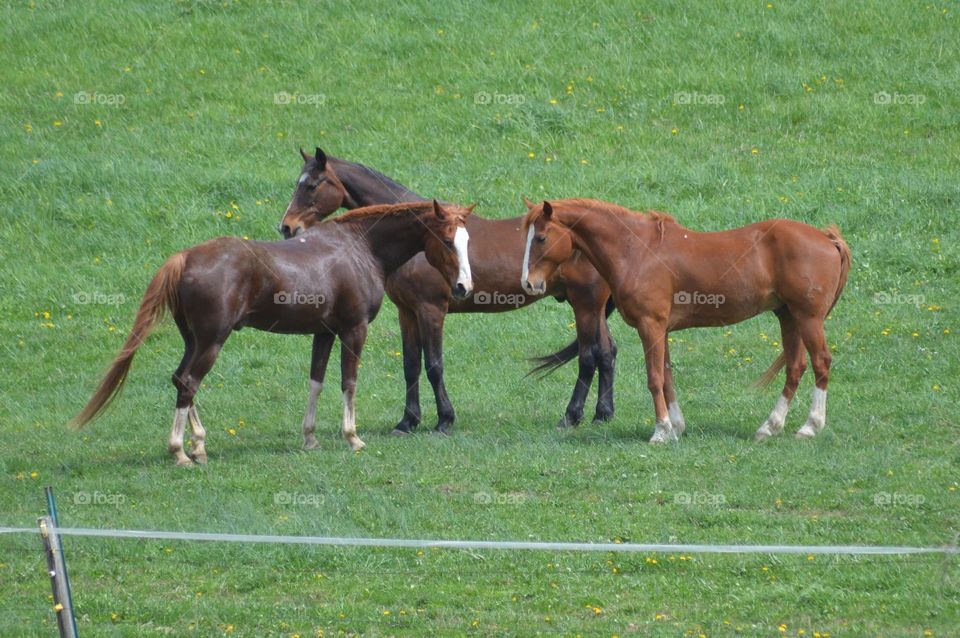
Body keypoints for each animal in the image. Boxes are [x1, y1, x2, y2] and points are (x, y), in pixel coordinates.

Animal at [69, 201, 474, 464]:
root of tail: (186, 256)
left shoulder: (324, 332)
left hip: (194, 341)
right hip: (212, 342)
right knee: (188, 382)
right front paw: (352, 437)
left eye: (467, 241)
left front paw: (310, 438)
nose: (463, 287)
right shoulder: (353, 329)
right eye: (447, 240)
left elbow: (316, 382)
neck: (359, 247)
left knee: (180, 379)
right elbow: (348, 382)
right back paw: (180, 451)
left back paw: (198, 444)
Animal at [282, 149, 620, 436]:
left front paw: (444, 420)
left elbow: (434, 365)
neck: (419, 243)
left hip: (585, 305)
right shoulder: (407, 312)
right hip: (591, 307)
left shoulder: (431, 309)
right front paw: (407, 421)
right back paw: (602, 414)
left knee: (589, 356)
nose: (286, 227)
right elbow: (410, 365)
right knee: (607, 353)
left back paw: (571, 415)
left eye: (311, 185)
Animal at [520, 200, 852, 444]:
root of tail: (826, 237)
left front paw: (660, 431)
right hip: (788, 316)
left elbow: (654, 378)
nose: (528, 283)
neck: (636, 250)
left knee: (821, 363)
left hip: (808, 318)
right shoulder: (662, 329)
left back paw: (810, 426)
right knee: (795, 368)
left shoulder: (650, 325)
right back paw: (770, 426)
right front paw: (675, 426)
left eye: (541, 238)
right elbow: (667, 377)